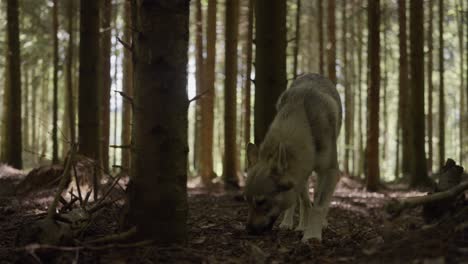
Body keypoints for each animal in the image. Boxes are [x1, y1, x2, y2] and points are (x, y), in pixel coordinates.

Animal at [245, 72, 340, 241]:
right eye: (246, 200)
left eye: (261, 202)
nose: (247, 230)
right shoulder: (301, 174)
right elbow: (304, 202)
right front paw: (303, 228)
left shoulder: (330, 171)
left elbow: (319, 205)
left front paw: (312, 237)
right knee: (299, 202)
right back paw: (290, 224)